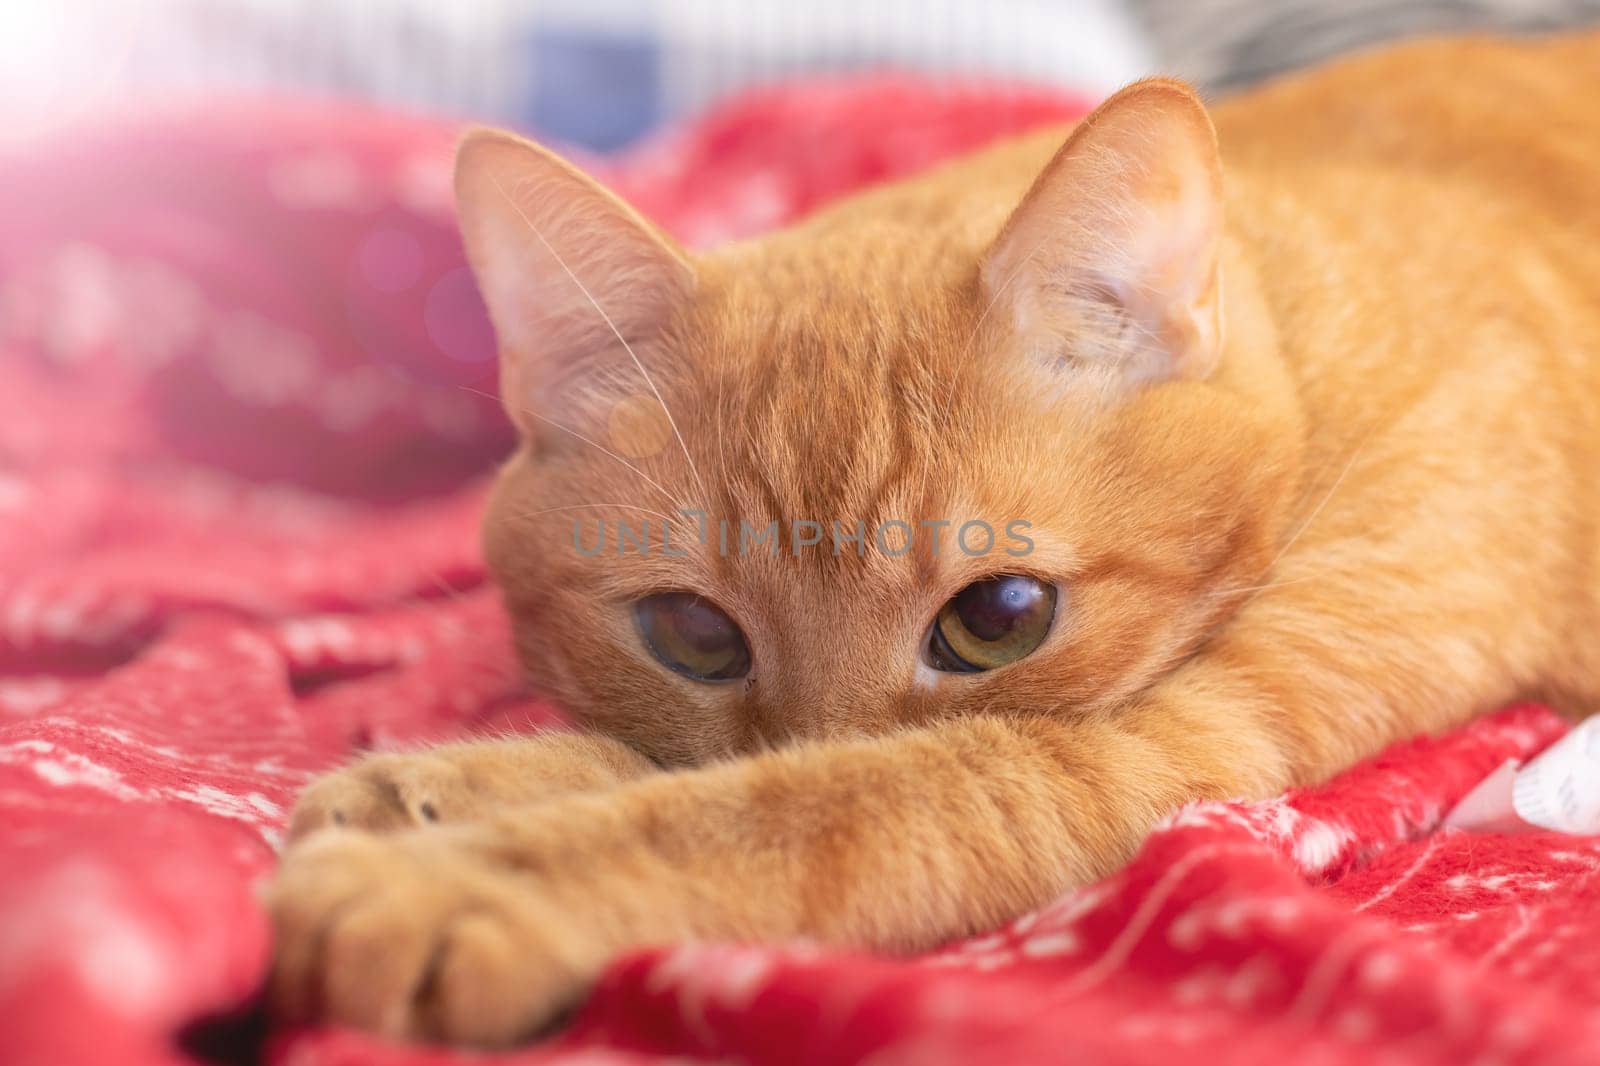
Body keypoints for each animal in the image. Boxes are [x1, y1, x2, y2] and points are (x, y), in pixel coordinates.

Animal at [272, 35, 1600, 1043]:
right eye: (692, 633)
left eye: (997, 621)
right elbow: (684, 764)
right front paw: (447, 785)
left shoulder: (1154, 747)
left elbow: (814, 803)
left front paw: (451, 880)